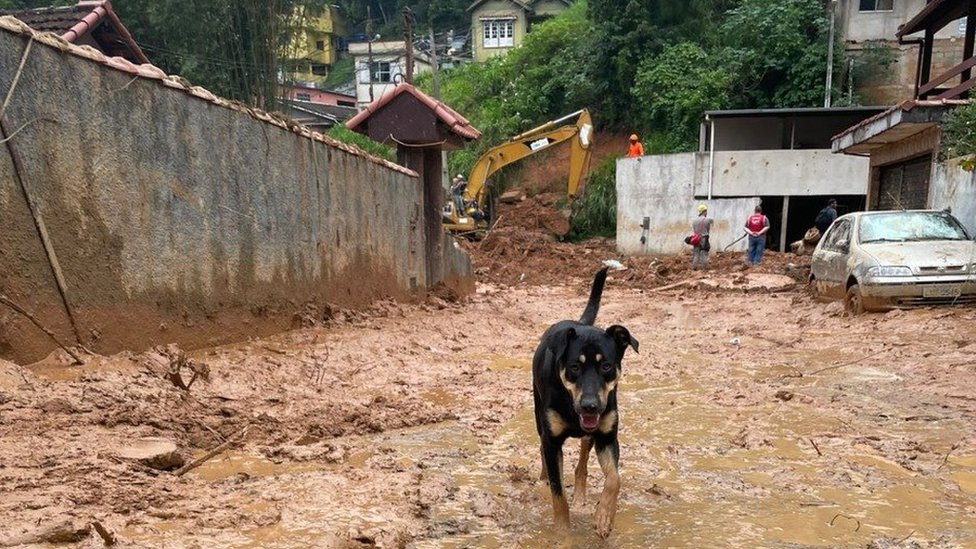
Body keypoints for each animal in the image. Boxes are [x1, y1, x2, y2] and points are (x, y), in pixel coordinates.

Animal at [528, 266, 636, 536]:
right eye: (574, 367)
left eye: (606, 366)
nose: (590, 406)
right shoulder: (552, 441)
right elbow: (558, 495)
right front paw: (562, 533)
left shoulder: (607, 437)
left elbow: (615, 478)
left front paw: (604, 517)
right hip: (538, 416)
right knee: (543, 451)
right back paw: (544, 479)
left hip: (591, 434)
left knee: (582, 462)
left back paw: (580, 496)